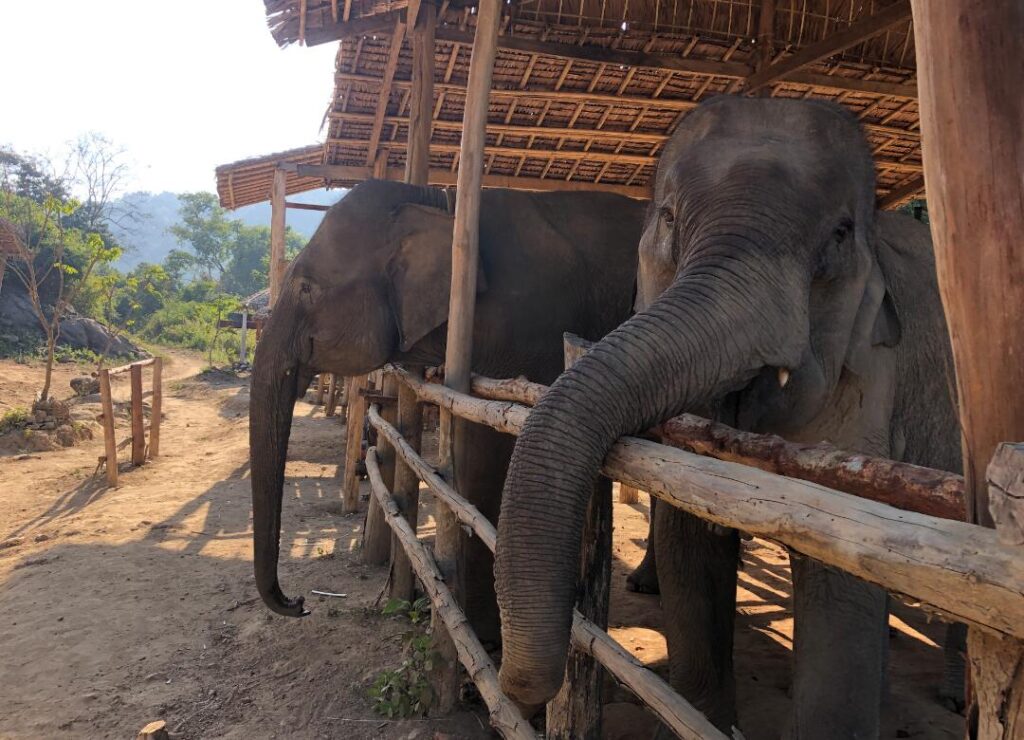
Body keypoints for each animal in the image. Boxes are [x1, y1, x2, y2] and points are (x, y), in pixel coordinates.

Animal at [249, 179, 645, 644]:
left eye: (306, 288)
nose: (299, 603)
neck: (437, 202)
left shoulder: (528, 325)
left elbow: (494, 451)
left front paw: (484, 636)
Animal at [493, 96, 963, 737]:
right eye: (669, 218)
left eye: (840, 235)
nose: (518, 691)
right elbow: (688, 540)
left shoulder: (871, 376)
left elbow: (841, 562)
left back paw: (953, 700)